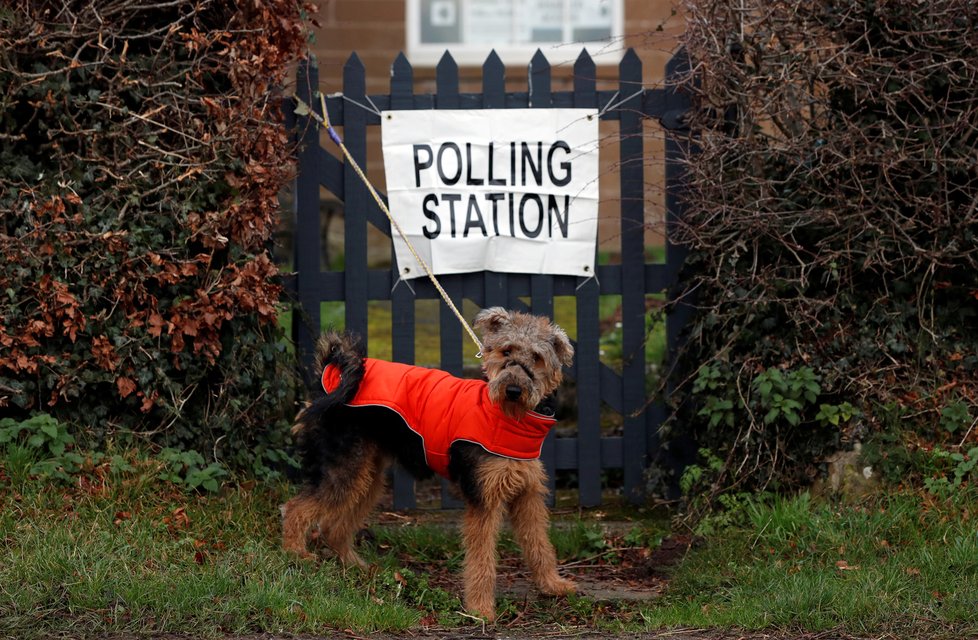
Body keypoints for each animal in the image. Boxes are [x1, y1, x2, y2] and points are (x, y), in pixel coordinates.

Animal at [278, 308, 576, 624]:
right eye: (506, 350)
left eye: (537, 357)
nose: (514, 389)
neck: (508, 418)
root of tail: (329, 377)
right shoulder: (484, 499)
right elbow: (482, 560)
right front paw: (480, 609)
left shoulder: (527, 495)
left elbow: (540, 545)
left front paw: (552, 585)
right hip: (342, 471)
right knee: (295, 509)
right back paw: (296, 554)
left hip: (366, 478)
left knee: (332, 527)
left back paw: (357, 566)